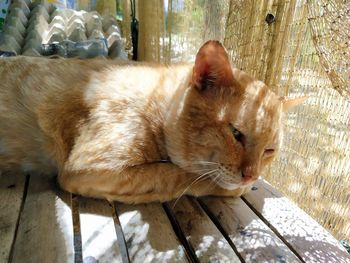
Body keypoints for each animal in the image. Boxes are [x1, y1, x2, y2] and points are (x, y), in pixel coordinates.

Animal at [0, 40, 304, 204]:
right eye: (236, 133)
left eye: (269, 151)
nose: (251, 175)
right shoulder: (87, 168)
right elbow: (178, 175)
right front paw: (233, 188)